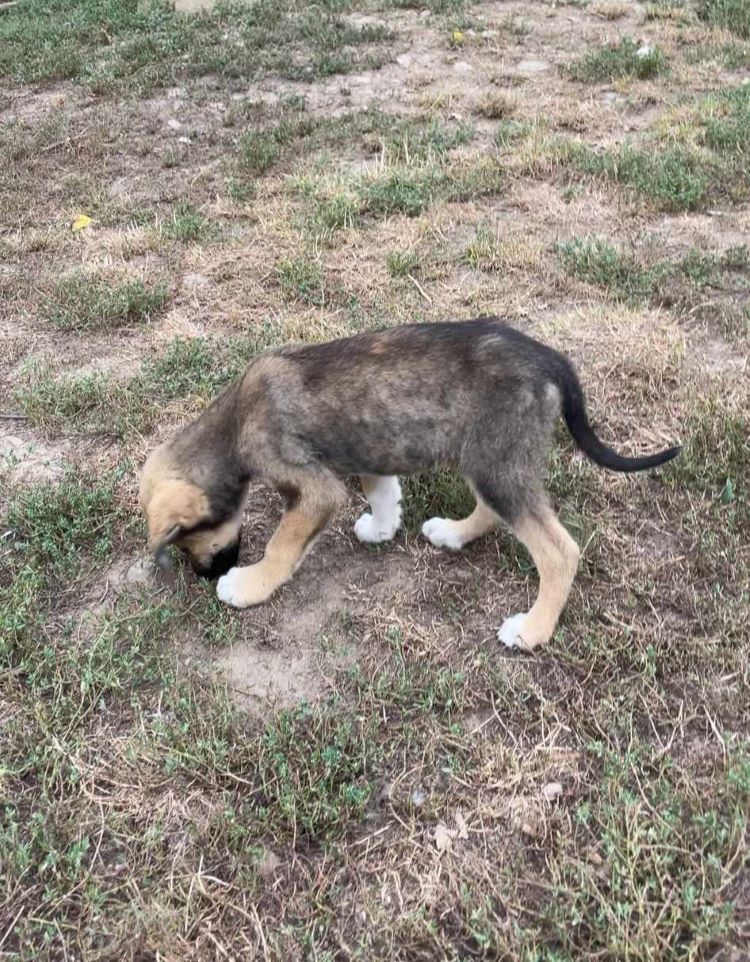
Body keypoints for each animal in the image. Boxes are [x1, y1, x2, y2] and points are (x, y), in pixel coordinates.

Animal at [140, 318, 680, 648]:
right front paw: (382, 528)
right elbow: (381, 490)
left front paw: (249, 585)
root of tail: (550, 359)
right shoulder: (369, 451)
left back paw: (532, 631)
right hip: (487, 458)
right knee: (491, 510)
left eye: (187, 540)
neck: (233, 424)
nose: (204, 575)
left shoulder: (312, 487)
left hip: (496, 462)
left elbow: (282, 544)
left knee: (558, 551)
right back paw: (453, 534)